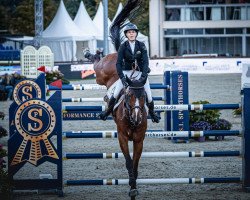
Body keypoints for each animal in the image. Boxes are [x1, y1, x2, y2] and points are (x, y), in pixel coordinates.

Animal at [85, 0, 146, 198]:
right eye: (129, 96)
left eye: (144, 97)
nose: (137, 117)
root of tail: (117, 52)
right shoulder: (122, 138)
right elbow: (128, 161)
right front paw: (132, 186)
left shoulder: (139, 140)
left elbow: (135, 163)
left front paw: (134, 185)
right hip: (100, 74)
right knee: (96, 64)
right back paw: (92, 53)